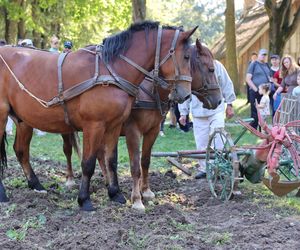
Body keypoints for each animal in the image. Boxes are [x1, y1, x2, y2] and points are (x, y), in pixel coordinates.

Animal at [0, 20, 197, 210]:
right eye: (187, 56)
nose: (186, 94)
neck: (110, 71)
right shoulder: (94, 125)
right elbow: (88, 163)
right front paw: (84, 200)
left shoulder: (114, 125)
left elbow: (111, 160)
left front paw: (115, 194)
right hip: (2, 115)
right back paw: (4, 194)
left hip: (23, 120)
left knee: (21, 151)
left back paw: (36, 185)